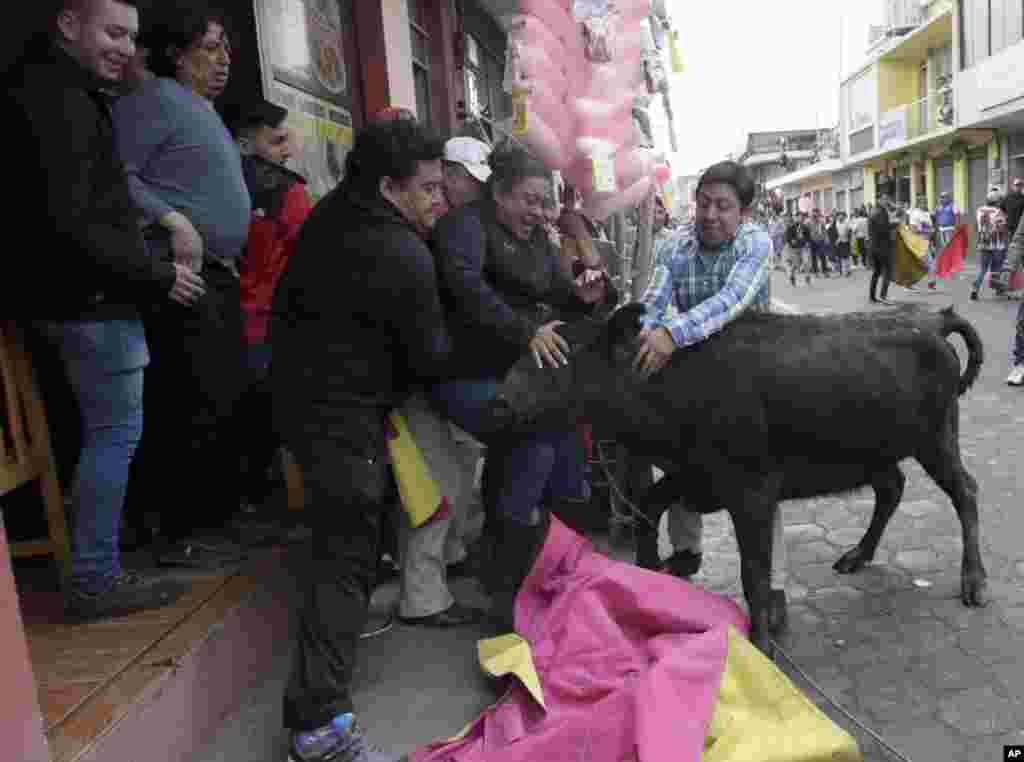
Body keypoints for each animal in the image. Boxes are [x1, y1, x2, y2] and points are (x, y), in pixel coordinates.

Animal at [491, 303, 987, 647]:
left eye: (567, 353)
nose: (500, 402)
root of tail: (932, 319)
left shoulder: (752, 492)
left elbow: (755, 573)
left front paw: (761, 641)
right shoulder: (694, 476)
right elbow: (649, 506)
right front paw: (651, 572)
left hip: (937, 440)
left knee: (965, 491)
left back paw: (974, 580)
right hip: (880, 452)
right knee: (892, 489)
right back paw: (858, 555)